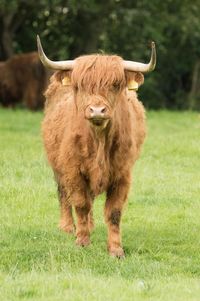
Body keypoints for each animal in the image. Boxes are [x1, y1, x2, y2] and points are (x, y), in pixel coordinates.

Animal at [37, 34, 156, 255]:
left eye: (115, 85)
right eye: (80, 85)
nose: (97, 110)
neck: (99, 140)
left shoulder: (122, 174)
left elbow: (114, 212)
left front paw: (116, 249)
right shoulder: (73, 170)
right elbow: (80, 203)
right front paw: (82, 241)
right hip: (57, 165)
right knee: (64, 194)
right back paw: (67, 226)